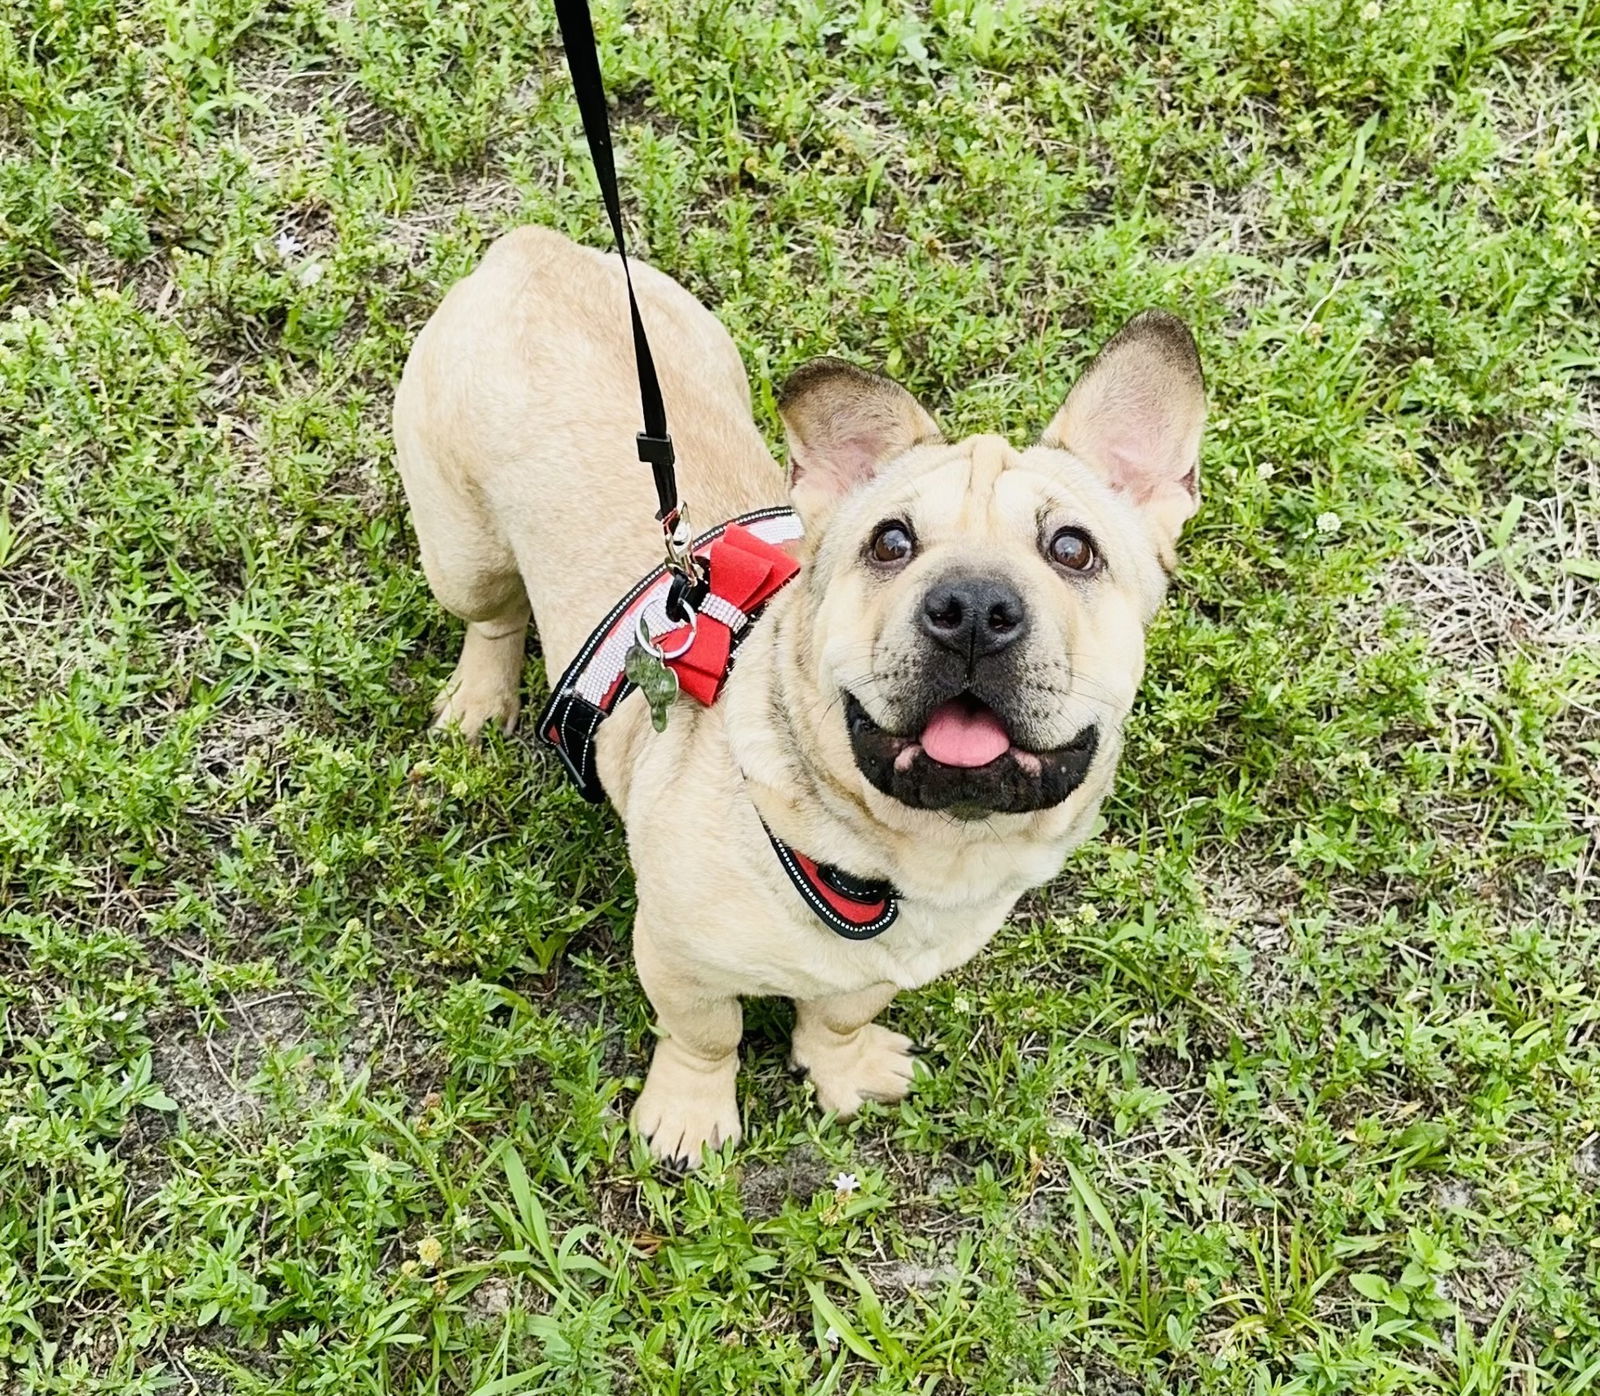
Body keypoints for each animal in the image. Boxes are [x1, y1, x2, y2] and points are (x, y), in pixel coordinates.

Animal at [396, 225, 1203, 1165]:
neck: (906, 857)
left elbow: (841, 1013)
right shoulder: (678, 958)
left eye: (1073, 550)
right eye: (890, 543)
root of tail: (531, 249)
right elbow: (705, 1034)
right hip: (463, 551)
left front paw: (840, 1068)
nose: (972, 607)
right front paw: (689, 1115)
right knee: (492, 615)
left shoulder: (876, 970)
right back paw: (479, 700)